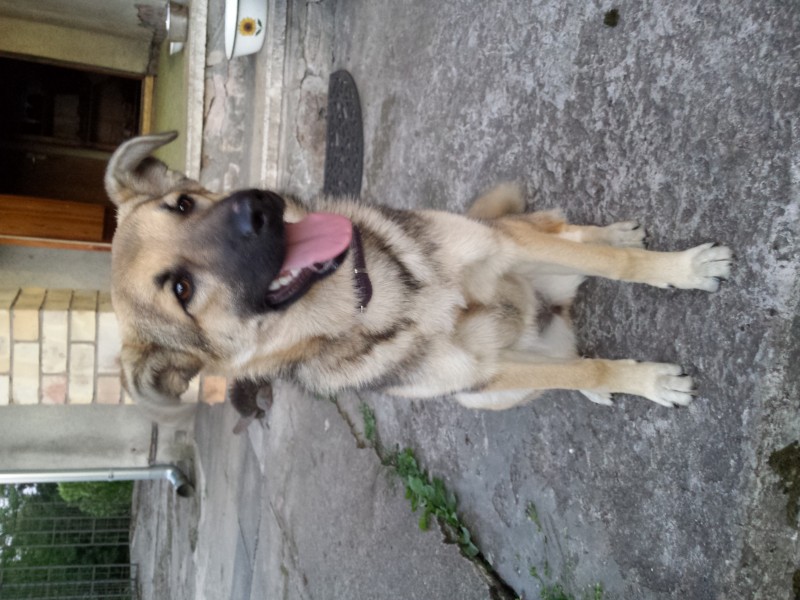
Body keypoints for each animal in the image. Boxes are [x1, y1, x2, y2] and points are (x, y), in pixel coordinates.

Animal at [106, 131, 732, 425]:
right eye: (182, 291)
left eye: (184, 204)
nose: (255, 208)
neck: (390, 299)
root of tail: (555, 317)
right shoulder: (483, 371)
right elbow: (594, 366)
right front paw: (644, 381)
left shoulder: (504, 248)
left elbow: (619, 267)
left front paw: (681, 268)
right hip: (487, 396)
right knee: (568, 367)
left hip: (532, 242)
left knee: (571, 236)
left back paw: (612, 237)